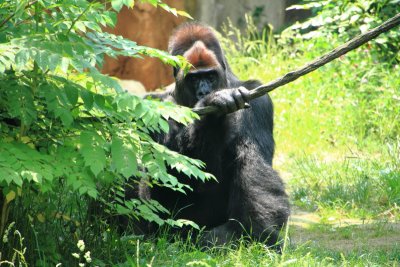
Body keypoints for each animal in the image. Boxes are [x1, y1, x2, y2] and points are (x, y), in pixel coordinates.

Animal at [136, 22, 290, 249]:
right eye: (194, 78)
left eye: (210, 76)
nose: (203, 93)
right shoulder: (152, 104)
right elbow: (169, 165)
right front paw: (213, 109)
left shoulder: (256, 96)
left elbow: (253, 163)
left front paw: (259, 234)